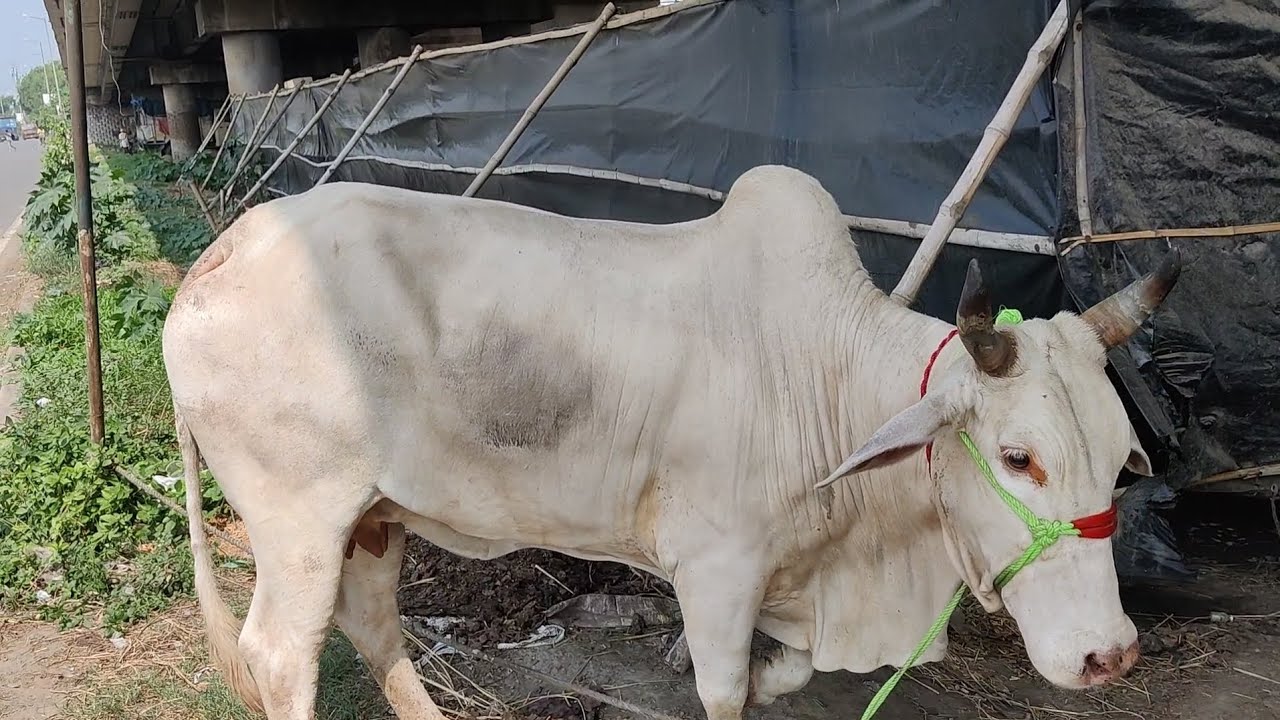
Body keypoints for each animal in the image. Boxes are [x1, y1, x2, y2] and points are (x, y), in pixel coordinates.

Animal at [164, 164, 1179, 720]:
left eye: (1119, 462)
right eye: (1018, 457)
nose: (1111, 656)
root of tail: (218, 259)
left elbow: (790, 669)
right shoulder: (716, 568)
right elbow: (724, 692)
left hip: (374, 519)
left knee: (372, 629)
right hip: (299, 523)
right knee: (280, 658)